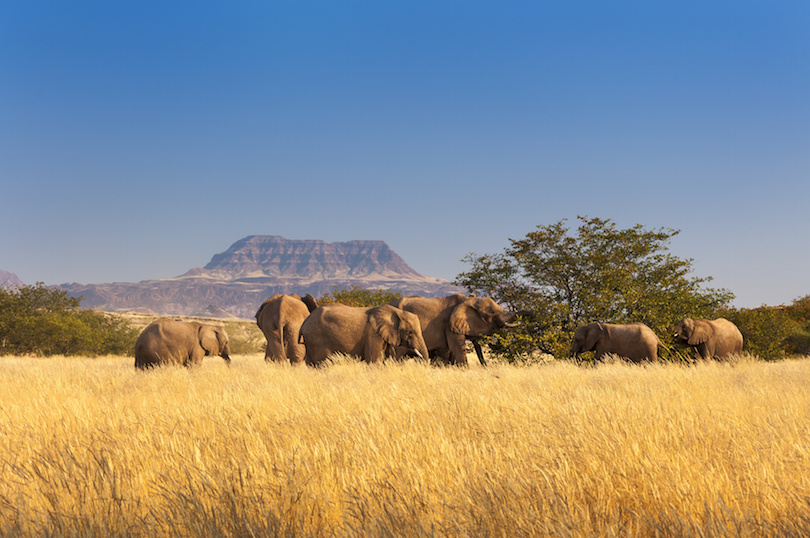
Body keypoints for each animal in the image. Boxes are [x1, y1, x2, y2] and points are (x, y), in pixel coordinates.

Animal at [298, 302, 430, 364]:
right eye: (410, 332)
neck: (396, 311)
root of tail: (305, 322)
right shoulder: (373, 334)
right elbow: (374, 360)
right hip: (317, 338)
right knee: (323, 363)